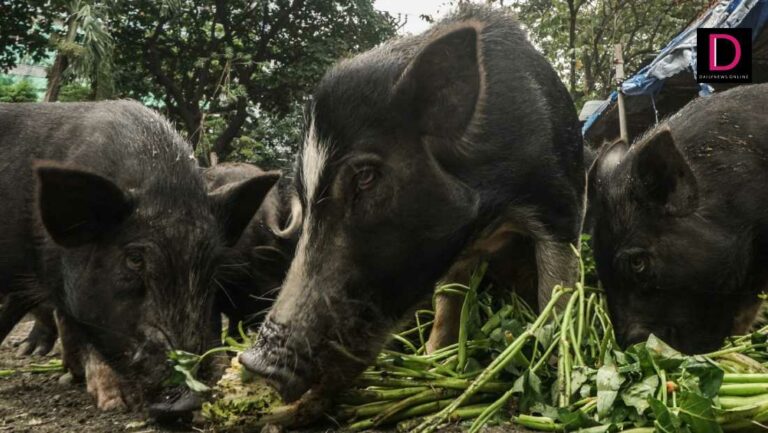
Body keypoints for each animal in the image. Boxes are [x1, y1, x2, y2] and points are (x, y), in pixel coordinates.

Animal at [239, 5, 585, 407]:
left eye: (366, 177)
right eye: (304, 197)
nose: (254, 362)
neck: (488, 219)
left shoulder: (559, 205)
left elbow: (556, 298)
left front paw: (553, 377)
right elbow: (447, 303)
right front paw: (434, 360)